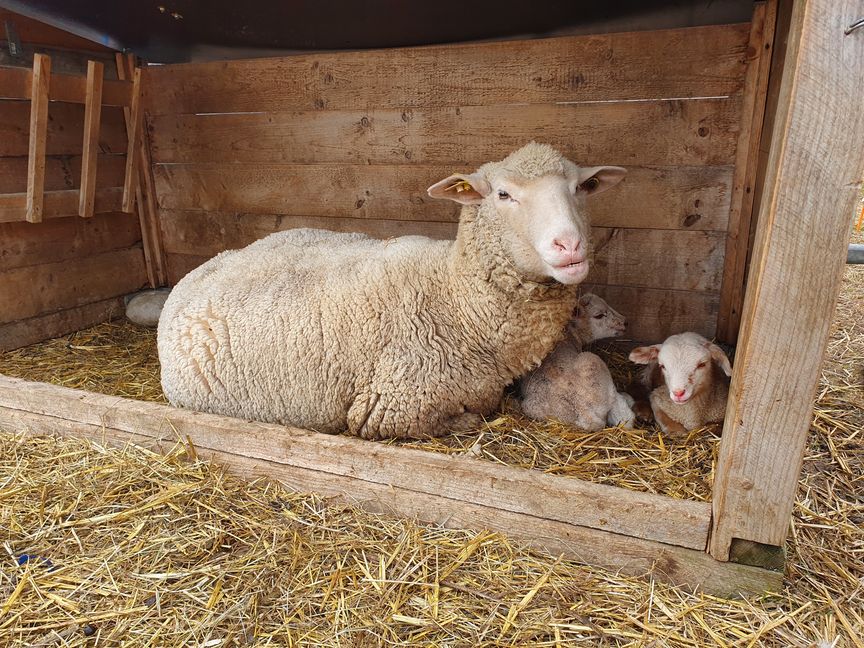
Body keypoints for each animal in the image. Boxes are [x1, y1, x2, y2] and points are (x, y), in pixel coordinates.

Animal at [519, 293, 635, 431]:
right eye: (599, 315)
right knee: (623, 414)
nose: (625, 322)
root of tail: (583, 411)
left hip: (530, 407)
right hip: (593, 361)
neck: (570, 335)